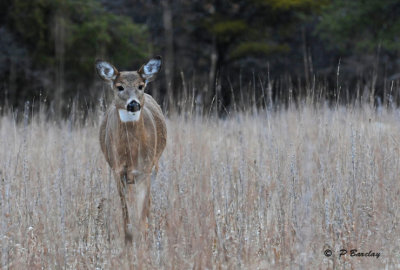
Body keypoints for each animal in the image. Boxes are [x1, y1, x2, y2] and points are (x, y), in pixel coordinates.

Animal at [95, 56, 166, 244]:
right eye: (120, 86)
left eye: (140, 86)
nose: (133, 104)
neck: (130, 152)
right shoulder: (117, 169)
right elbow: (125, 207)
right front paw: (128, 237)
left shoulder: (145, 169)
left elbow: (143, 208)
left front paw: (143, 235)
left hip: (155, 166)